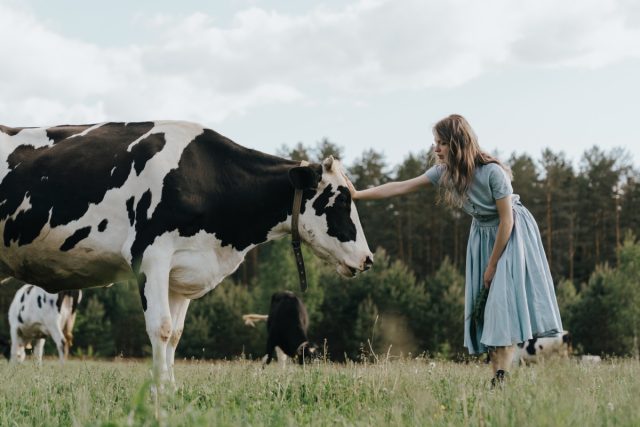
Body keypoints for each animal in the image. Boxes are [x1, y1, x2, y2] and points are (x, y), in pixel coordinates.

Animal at [0, 120, 372, 384]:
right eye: (340, 200)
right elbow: (160, 328)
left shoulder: (183, 270)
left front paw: (171, 389)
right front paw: (158, 392)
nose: (368, 259)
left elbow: (175, 335)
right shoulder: (150, 256)